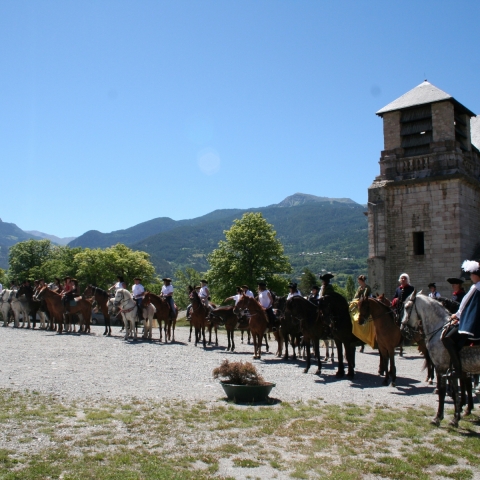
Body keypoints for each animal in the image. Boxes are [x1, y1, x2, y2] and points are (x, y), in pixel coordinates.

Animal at [398, 290, 480, 426]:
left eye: (407, 307)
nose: (403, 330)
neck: (439, 329)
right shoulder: (453, 370)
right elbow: (455, 392)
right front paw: (455, 418)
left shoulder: (441, 367)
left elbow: (442, 391)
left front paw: (438, 417)